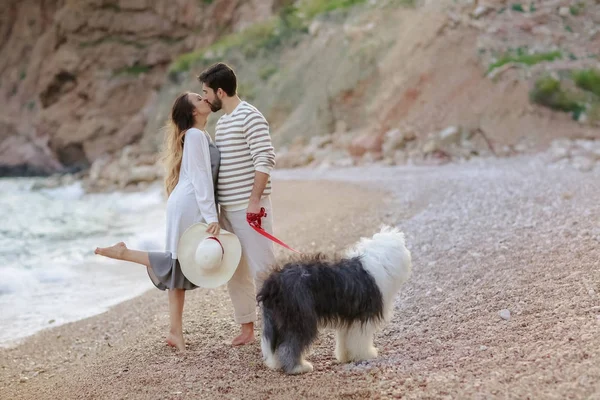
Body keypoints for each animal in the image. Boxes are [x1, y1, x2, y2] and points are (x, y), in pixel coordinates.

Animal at [255, 225, 410, 376]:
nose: (408, 252)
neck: (378, 260)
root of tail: (273, 282)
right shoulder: (363, 317)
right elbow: (361, 339)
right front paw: (366, 354)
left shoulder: (349, 319)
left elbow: (345, 340)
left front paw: (345, 356)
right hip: (300, 318)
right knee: (289, 344)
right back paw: (297, 367)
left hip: (277, 319)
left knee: (277, 343)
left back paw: (277, 363)